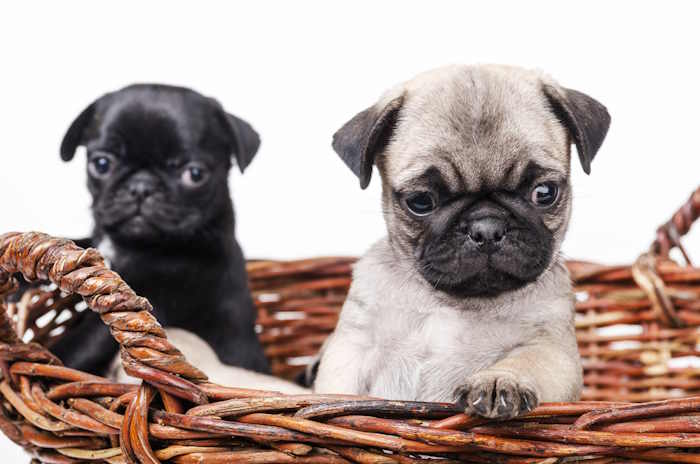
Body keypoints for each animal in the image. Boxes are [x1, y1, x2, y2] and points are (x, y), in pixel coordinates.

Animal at [53, 84, 268, 376]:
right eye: (101, 164)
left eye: (195, 174)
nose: (141, 186)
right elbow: (79, 243)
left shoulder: (143, 300)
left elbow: (80, 344)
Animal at [314, 64, 608, 420]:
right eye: (421, 201)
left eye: (544, 193)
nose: (487, 227)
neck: (453, 302)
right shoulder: (352, 349)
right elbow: (335, 388)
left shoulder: (552, 349)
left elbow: (527, 360)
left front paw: (499, 380)